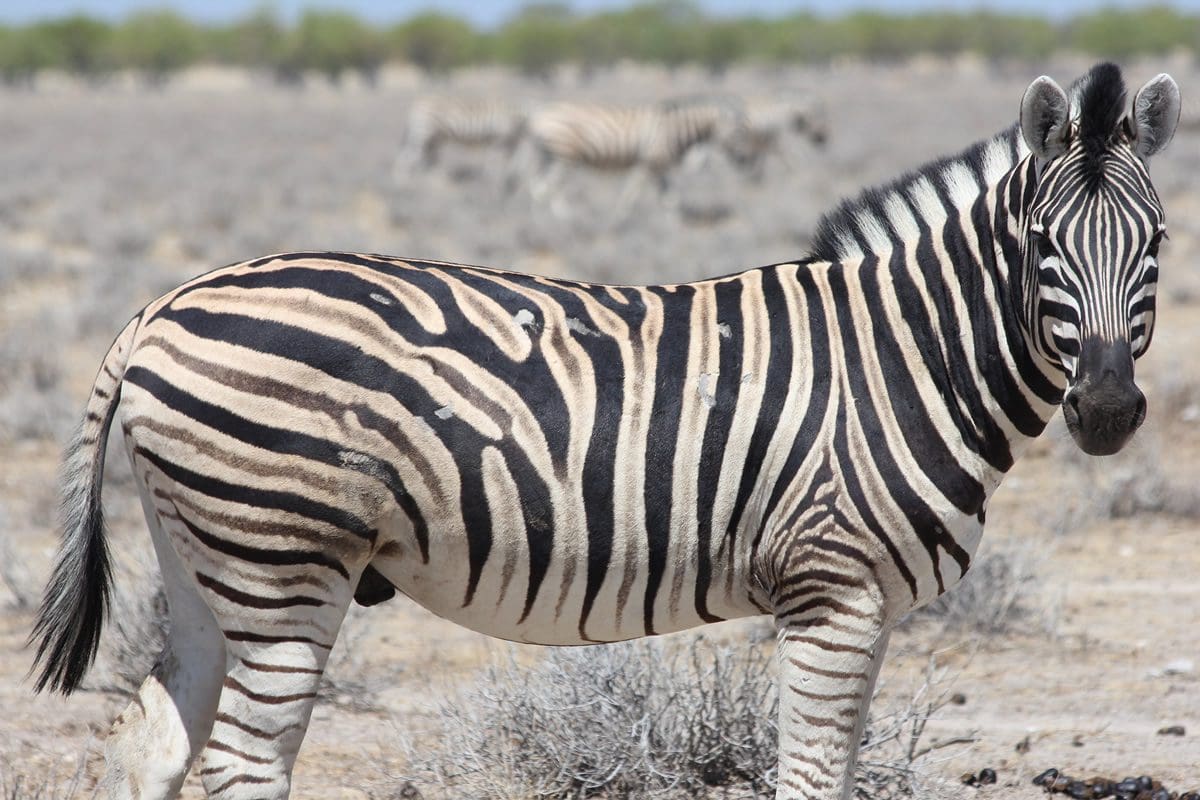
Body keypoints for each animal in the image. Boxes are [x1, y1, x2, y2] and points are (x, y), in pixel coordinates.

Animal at [28, 63, 1178, 800]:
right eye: (1042, 244)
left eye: (1160, 241)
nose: (1108, 410)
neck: (907, 355)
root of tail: (163, 303)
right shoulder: (832, 591)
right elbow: (811, 779)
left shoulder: (869, 607)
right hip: (283, 558)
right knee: (244, 766)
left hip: (208, 556)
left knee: (152, 747)